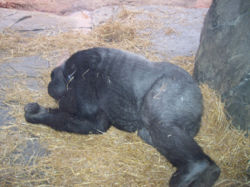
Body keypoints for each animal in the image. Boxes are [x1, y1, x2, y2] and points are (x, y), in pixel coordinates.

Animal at [23, 47, 219, 186]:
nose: (50, 85)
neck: (70, 76)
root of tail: (201, 100)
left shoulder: (83, 78)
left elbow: (95, 123)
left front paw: (36, 114)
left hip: (175, 89)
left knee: (161, 123)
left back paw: (197, 167)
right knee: (150, 133)